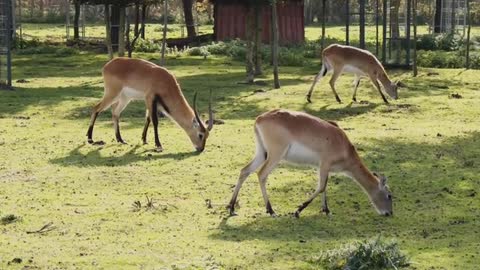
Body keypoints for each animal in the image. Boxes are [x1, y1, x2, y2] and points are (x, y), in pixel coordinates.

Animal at [86, 57, 214, 153]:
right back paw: (90, 139)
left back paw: (120, 139)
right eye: (200, 135)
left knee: (115, 113)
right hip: (112, 94)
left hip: (124, 98)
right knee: (96, 108)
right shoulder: (150, 98)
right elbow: (155, 121)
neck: (166, 81)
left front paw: (144, 140)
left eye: (207, 135)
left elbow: (147, 118)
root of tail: (108, 65)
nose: (201, 149)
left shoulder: (154, 103)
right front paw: (158, 144)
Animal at [229, 109, 394, 217]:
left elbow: (325, 187)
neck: (345, 147)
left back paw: (231, 207)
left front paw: (326, 210)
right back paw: (271, 210)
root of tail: (260, 118)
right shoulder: (324, 164)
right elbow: (321, 187)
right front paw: (298, 211)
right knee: (261, 174)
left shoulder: (324, 168)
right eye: (389, 195)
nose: (389, 213)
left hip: (262, 153)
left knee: (245, 170)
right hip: (275, 155)